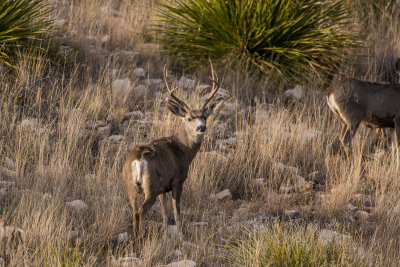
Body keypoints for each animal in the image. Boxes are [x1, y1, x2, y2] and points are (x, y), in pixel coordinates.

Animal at [122, 67, 222, 237]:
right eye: (189, 118)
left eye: (204, 117)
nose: (201, 127)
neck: (183, 150)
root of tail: (138, 160)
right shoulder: (177, 180)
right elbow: (176, 212)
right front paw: (180, 234)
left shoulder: (163, 187)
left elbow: (164, 212)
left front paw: (165, 233)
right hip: (150, 186)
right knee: (140, 212)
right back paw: (140, 237)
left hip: (131, 186)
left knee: (134, 211)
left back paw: (135, 237)